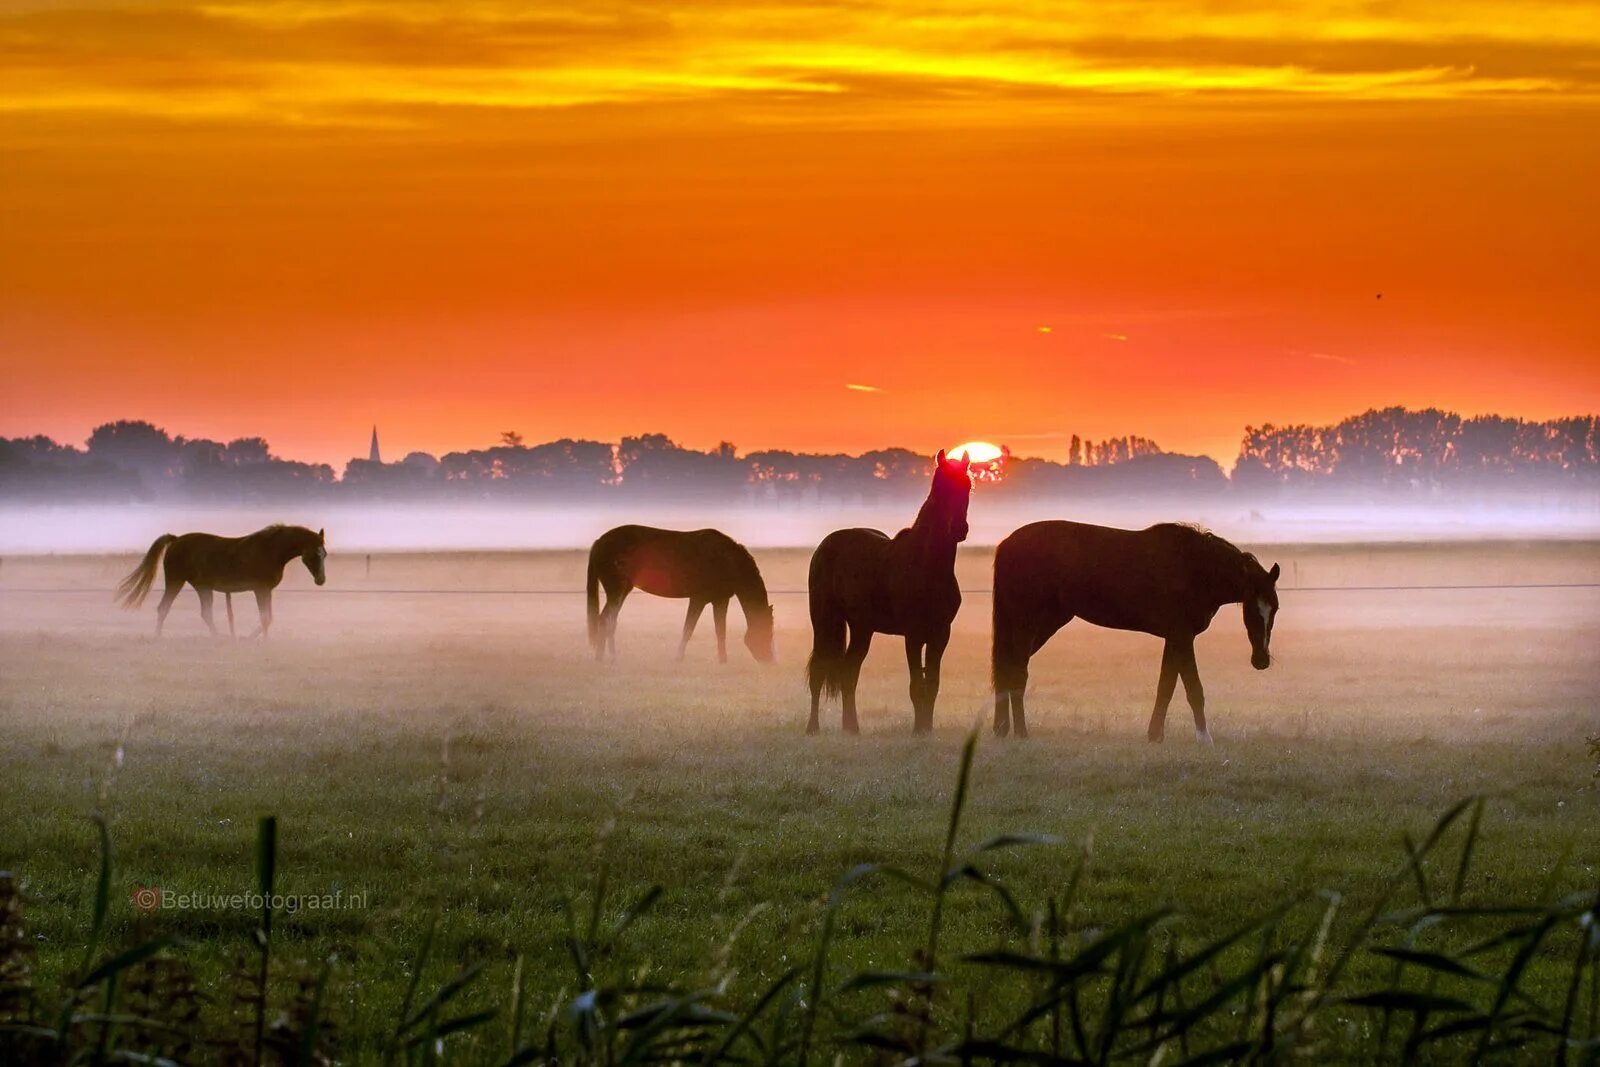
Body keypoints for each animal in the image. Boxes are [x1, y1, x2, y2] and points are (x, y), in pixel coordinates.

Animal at [116, 524, 328, 639]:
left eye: (324, 554)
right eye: (314, 554)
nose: (321, 580)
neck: (270, 550)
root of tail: (176, 540)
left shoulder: (266, 591)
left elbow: (268, 617)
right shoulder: (260, 589)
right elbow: (265, 617)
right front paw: (248, 639)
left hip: (203, 587)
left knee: (204, 613)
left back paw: (217, 637)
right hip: (176, 581)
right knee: (164, 608)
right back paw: (159, 636)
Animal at [585, 527, 777, 668]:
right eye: (767, 631)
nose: (770, 661)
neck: (726, 560)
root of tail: (599, 542)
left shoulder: (720, 600)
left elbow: (720, 631)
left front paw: (723, 660)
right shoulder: (698, 599)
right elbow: (688, 629)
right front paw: (679, 658)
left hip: (620, 591)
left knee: (607, 620)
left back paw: (604, 657)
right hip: (617, 591)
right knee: (607, 620)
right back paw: (609, 657)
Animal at [806, 447, 966, 735]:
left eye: (968, 485)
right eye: (941, 487)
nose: (960, 528)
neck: (926, 566)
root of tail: (825, 544)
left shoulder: (940, 635)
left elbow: (932, 684)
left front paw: (927, 729)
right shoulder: (913, 635)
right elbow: (916, 686)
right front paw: (918, 731)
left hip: (862, 628)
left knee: (849, 672)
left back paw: (852, 728)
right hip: (824, 621)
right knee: (819, 671)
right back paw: (812, 727)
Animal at [992, 518, 1280, 742]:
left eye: (1275, 609)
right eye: (1250, 608)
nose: (1261, 661)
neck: (1194, 568)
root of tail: (1008, 544)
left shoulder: (1174, 638)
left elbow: (1166, 686)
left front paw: (1155, 736)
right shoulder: (1182, 636)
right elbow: (1193, 688)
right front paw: (1204, 738)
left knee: (1007, 669)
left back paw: (1002, 729)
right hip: (1027, 623)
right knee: (1017, 672)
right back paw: (1021, 733)